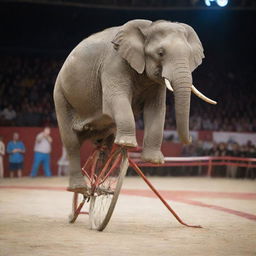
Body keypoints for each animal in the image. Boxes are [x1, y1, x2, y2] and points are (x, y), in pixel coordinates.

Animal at [53, 18, 216, 192]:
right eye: (160, 53)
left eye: (190, 55)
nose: (192, 139)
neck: (148, 27)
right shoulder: (114, 63)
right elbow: (115, 98)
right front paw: (128, 144)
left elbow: (156, 109)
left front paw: (154, 160)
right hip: (60, 95)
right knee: (72, 143)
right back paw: (79, 188)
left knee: (105, 142)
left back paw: (99, 177)